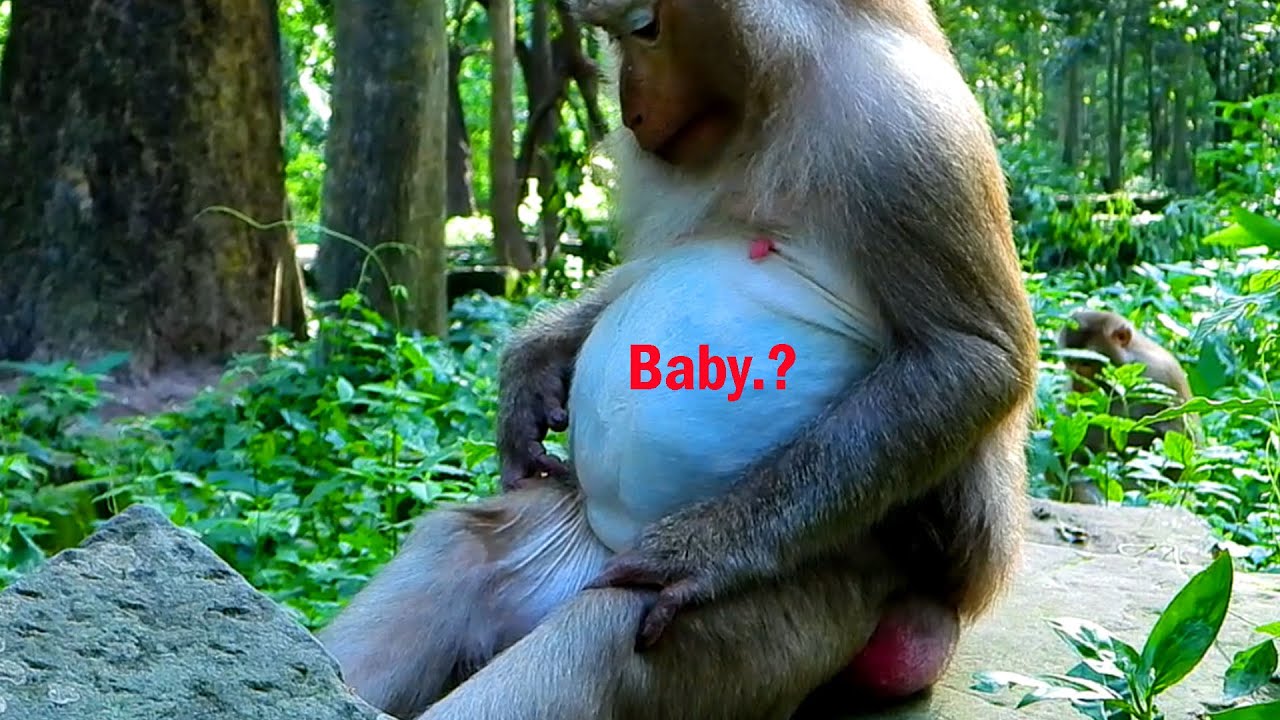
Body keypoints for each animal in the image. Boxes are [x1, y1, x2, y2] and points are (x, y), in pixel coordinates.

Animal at [319, 1, 1039, 719]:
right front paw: (528, 371)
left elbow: (972, 358)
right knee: (464, 543)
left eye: (646, 29)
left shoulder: (904, 128)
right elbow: (639, 273)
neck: (776, 88)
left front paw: (701, 554)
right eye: (611, 36)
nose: (630, 108)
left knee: (607, 634)